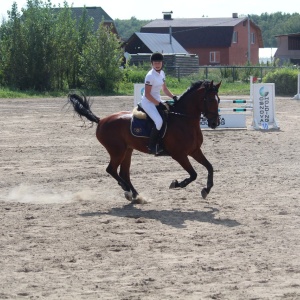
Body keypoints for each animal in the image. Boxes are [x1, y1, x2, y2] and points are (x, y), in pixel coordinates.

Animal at [69, 79, 221, 204]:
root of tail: (101, 120)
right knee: (111, 169)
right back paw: (127, 190)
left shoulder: (195, 150)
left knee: (124, 173)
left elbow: (209, 167)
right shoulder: (179, 155)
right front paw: (176, 183)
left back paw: (135, 195)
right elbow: (193, 174)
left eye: (218, 100)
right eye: (210, 100)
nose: (215, 123)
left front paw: (206, 189)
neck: (183, 120)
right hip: (117, 151)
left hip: (127, 150)